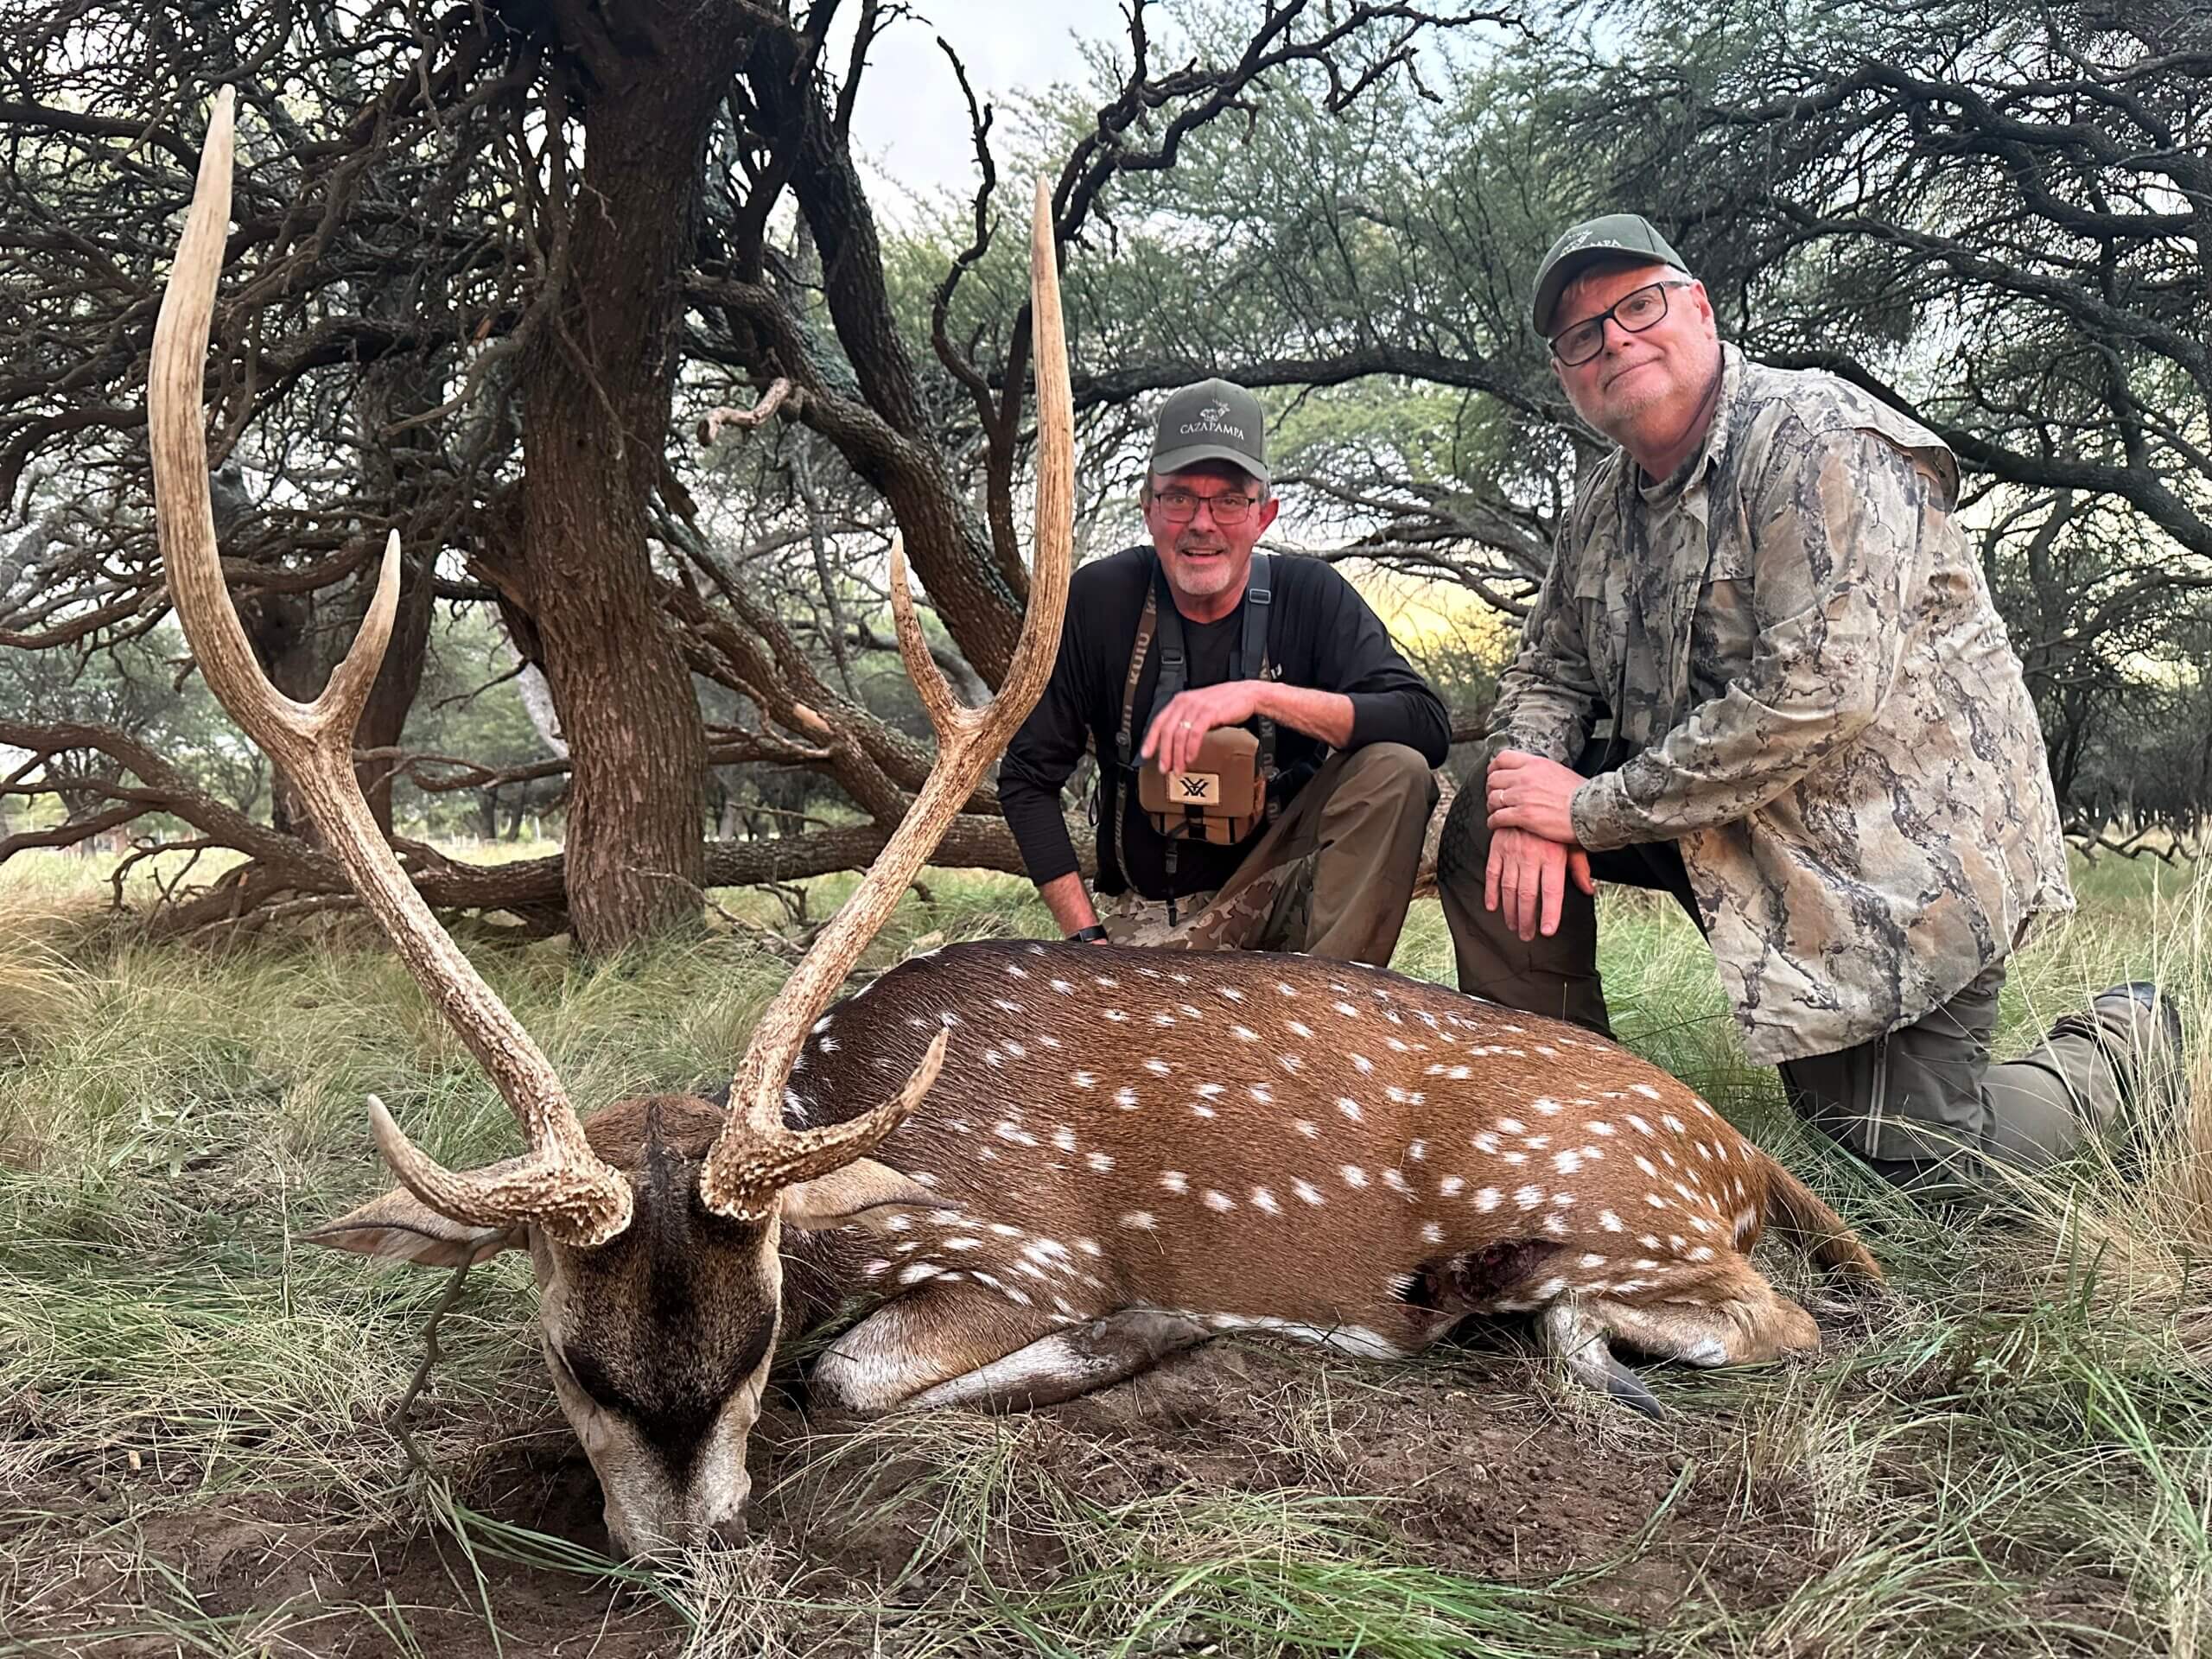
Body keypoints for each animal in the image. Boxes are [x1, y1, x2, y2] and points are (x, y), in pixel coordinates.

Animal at [152, 89, 1880, 1559]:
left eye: (755, 1332)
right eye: (570, 1358)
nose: (692, 1547)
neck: (863, 1120)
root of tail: (1734, 1143)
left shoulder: (1030, 1243)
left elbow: (863, 1375)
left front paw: (1140, 1334)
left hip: (1594, 1200)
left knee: (1779, 1319)